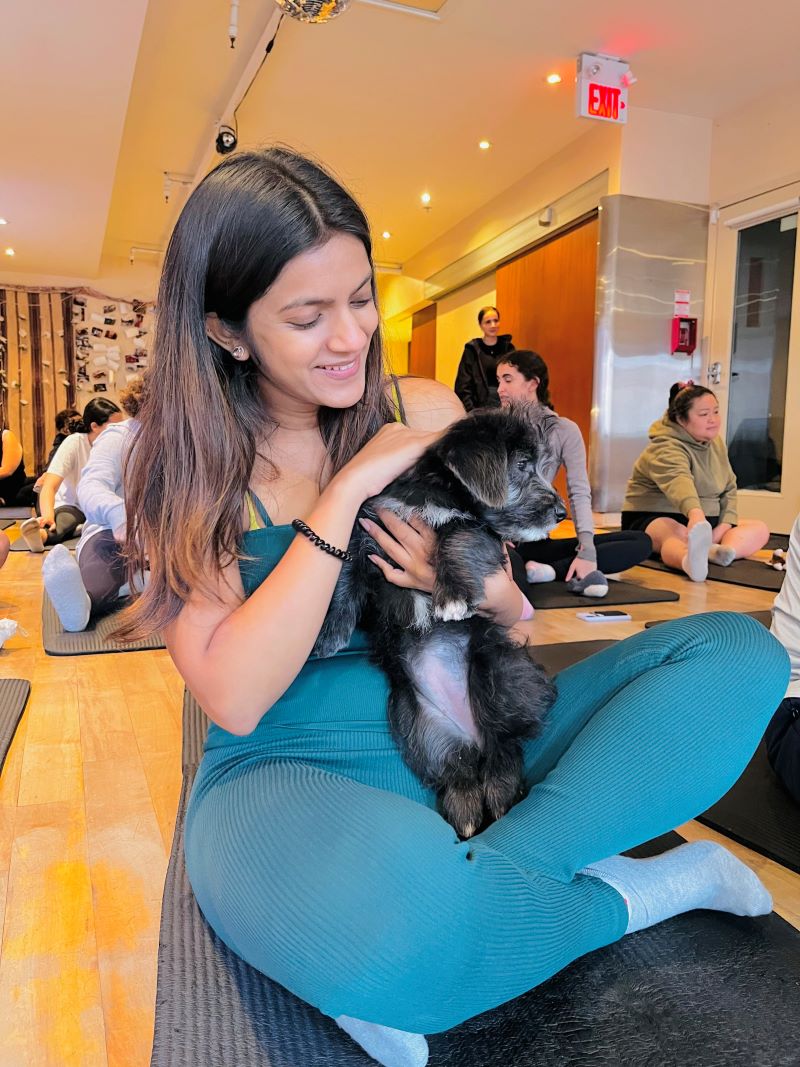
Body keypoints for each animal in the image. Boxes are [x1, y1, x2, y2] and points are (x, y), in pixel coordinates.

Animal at [315, 403, 571, 836]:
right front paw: (330, 632)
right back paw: (466, 809)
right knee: (457, 766)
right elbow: (345, 568)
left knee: (505, 745)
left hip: (500, 675)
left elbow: (457, 538)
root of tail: (471, 734)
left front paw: (451, 597)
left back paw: (500, 793)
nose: (560, 511)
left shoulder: (481, 532)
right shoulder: (370, 524)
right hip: (419, 724)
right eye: (522, 465)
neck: (436, 491)